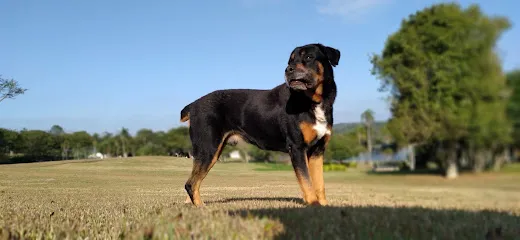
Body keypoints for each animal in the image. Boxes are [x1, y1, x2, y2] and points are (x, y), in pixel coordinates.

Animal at [180, 43, 342, 206]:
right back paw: (200, 206)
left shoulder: (318, 150)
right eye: (290, 61)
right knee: (191, 183)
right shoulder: (297, 147)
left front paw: (323, 205)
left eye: (308, 57)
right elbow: (307, 181)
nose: (288, 69)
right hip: (208, 148)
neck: (314, 101)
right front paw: (313, 204)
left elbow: (319, 183)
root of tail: (193, 105)